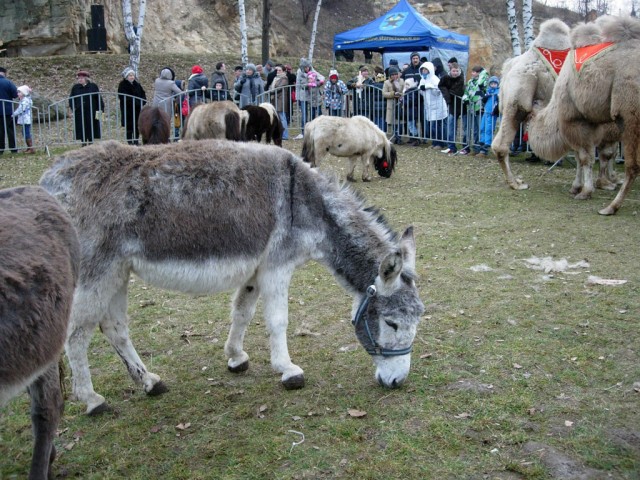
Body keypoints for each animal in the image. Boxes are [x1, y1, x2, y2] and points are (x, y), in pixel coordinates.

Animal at [38, 140, 420, 416]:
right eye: (392, 323)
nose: (397, 381)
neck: (308, 202)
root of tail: (50, 179)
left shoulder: (256, 269)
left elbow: (242, 312)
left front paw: (236, 357)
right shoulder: (277, 267)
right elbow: (277, 320)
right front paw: (288, 370)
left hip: (117, 272)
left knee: (115, 329)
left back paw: (149, 382)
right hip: (96, 273)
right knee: (76, 335)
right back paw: (92, 399)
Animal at [528, 15, 636, 213]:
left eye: (531, 117)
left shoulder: (578, 122)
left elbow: (591, 156)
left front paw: (589, 188)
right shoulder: (597, 128)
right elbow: (595, 155)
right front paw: (596, 183)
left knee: (632, 165)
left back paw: (611, 206)